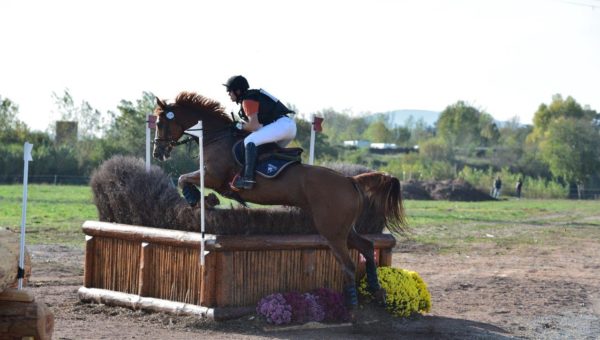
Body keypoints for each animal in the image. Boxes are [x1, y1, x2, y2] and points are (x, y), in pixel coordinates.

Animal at [151, 91, 408, 310]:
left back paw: (351, 306)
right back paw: (378, 292)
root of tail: (349, 180)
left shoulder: (213, 175)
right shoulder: (215, 179)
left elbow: (183, 179)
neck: (215, 137)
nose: (158, 153)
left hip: (332, 232)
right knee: (367, 247)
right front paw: (208, 200)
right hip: (343, 228)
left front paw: (197, 199)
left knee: (349, 264)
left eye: (161, 123)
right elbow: (192, 183)